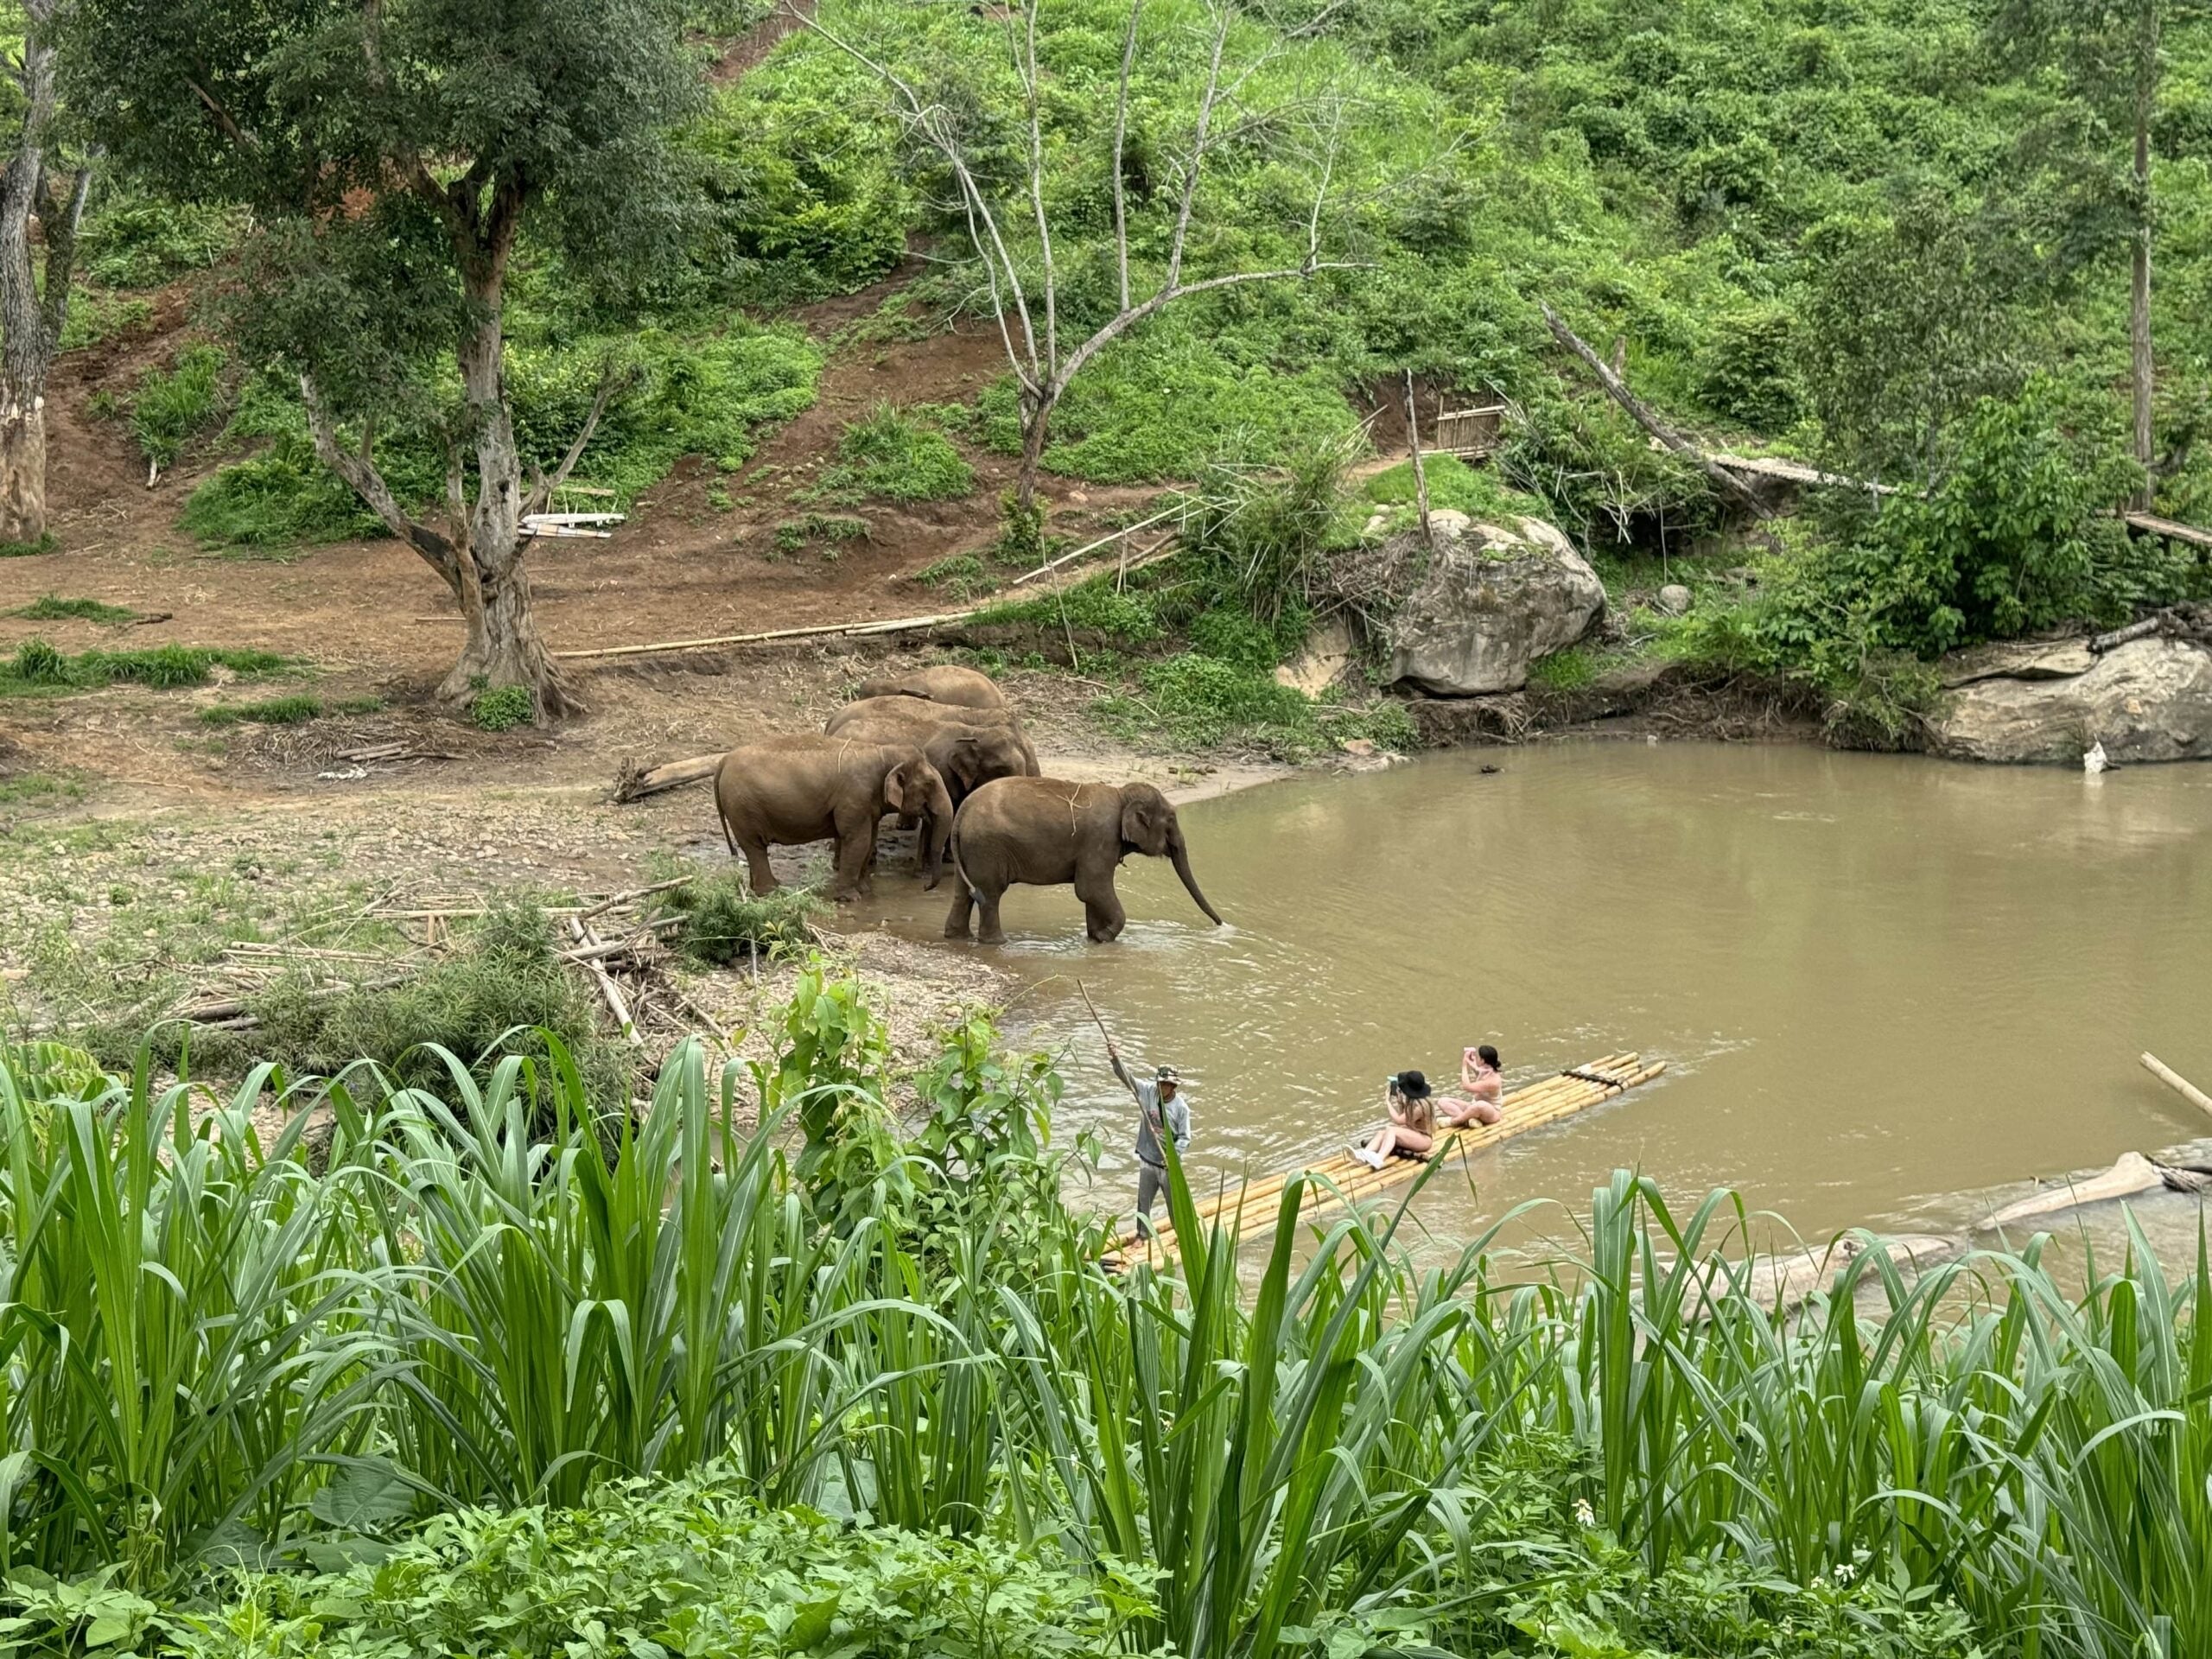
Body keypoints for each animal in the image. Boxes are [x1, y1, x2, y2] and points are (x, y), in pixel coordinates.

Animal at [715, 735, 953, 902]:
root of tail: (724, 761)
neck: (883, 752)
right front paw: (851, 898)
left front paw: (864, 891)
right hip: (744, 807)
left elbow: (869, 840)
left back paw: (764, 887)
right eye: (930, 784)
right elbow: (857, 841)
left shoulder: (868, 804)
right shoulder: (855, 797)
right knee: (755, 846)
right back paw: (771, 892)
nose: (925, 887)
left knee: (753, 849)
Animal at [944, 777, 1224, 944]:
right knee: (990, 894)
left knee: (964, 892)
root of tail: (962, 812)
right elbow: (1091, 888)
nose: (1221, 925)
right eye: (1171, 820)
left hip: (971, 849)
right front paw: (1106, 937)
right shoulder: (1101, 839)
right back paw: (998, 943)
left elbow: (1091, 894)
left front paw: (1095, 938)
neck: (1122, 795)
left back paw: (958, 938)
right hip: (987, 847)